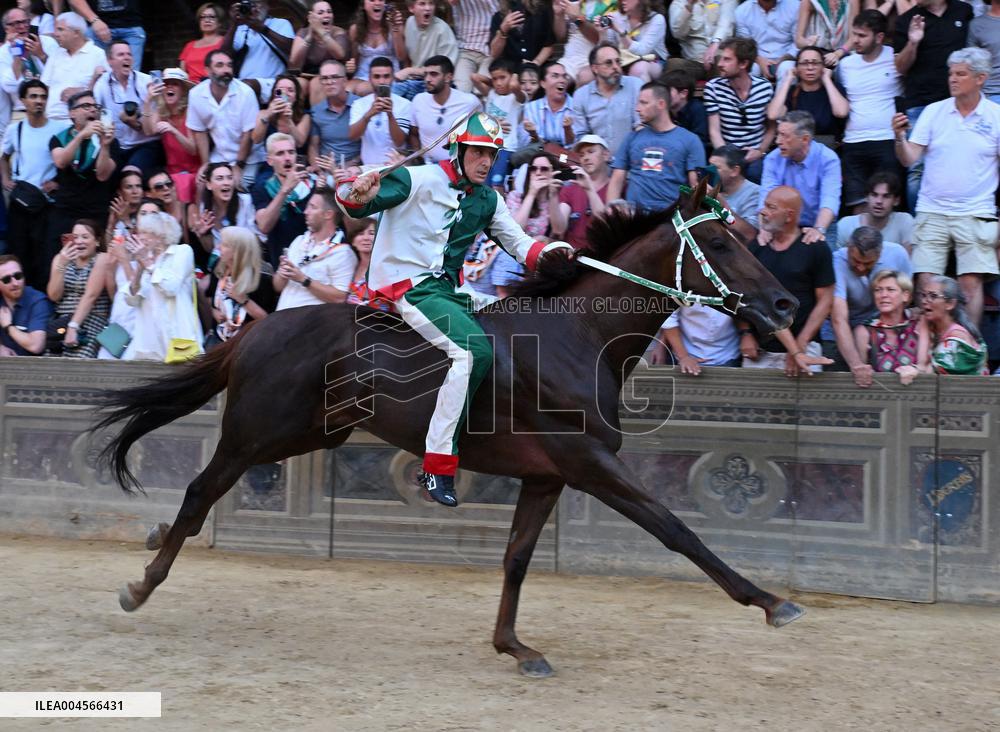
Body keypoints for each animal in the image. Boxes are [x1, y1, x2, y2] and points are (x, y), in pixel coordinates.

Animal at [95, 178, 804, 677]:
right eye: (721, 245)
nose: (786, 303)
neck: (579, 338)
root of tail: (256, 329)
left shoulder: (547, 478)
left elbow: (517, 558)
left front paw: (514, 646)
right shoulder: (590, 464)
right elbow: (675, 529)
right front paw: (771, 601)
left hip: (311, 434)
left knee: (205, 493)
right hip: (255, 433)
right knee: (198, 492)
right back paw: (139, 585)